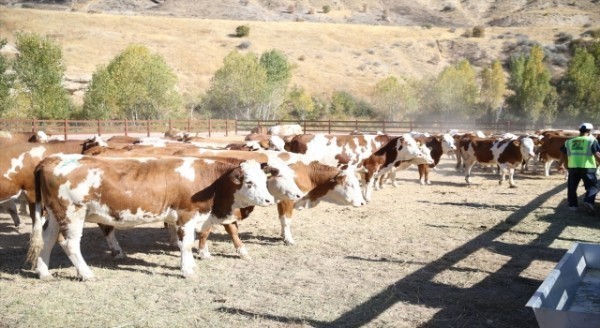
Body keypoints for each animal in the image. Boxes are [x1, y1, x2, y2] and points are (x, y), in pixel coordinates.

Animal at [25, 154, 274, 280]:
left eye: (264, 180)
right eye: (249, 182)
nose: (269, 200)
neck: (210, 181)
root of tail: (50, 159)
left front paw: (191, 266)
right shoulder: (186, 215)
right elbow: (185, 244)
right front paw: (187, 270)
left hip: (55, 215)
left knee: (46, 240)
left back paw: (44, 272)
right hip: (72, 213)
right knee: (70, 244)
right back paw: (86, 274)